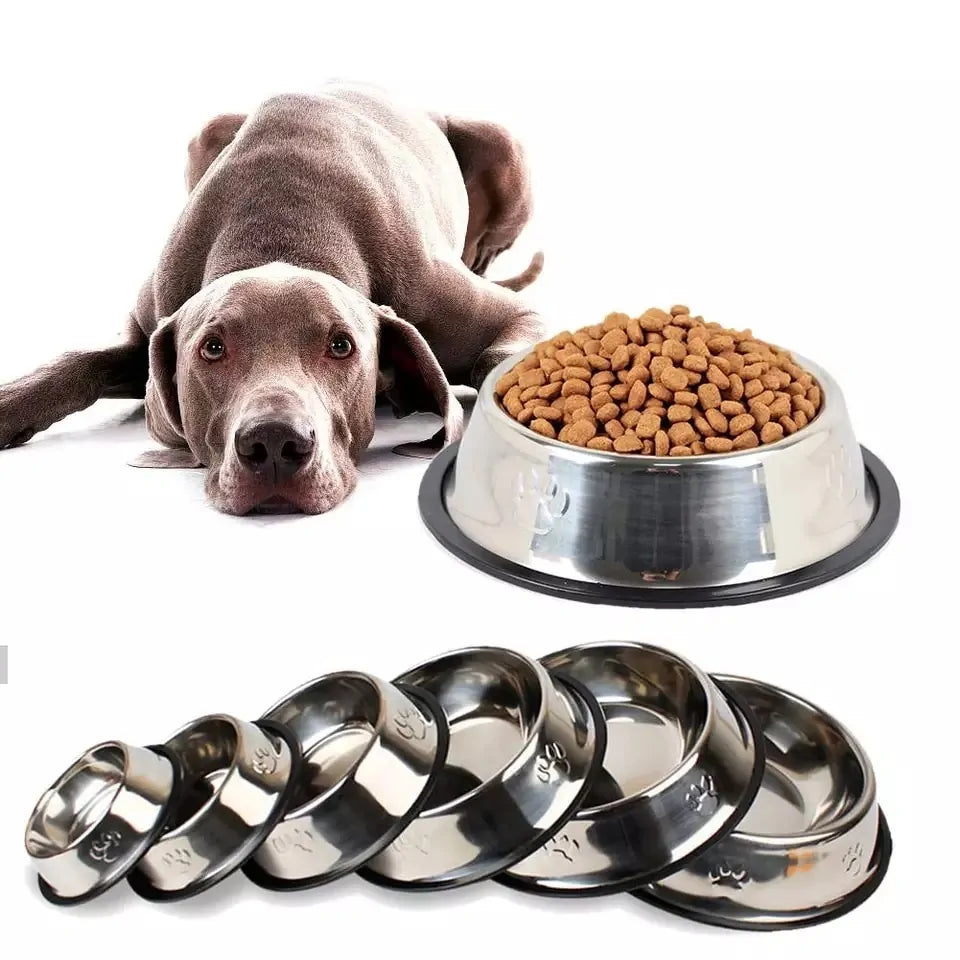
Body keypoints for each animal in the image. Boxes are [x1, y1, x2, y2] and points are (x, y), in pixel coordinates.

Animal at [0, 86, 540, 512]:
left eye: (342, 346)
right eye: (211, 348)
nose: (275, 443)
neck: (282, 230)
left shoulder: (480, 305)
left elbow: (496, 356)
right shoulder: (149, 326)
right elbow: (78, 362)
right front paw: (12, 404)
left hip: (501, 144)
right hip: (208, 131)